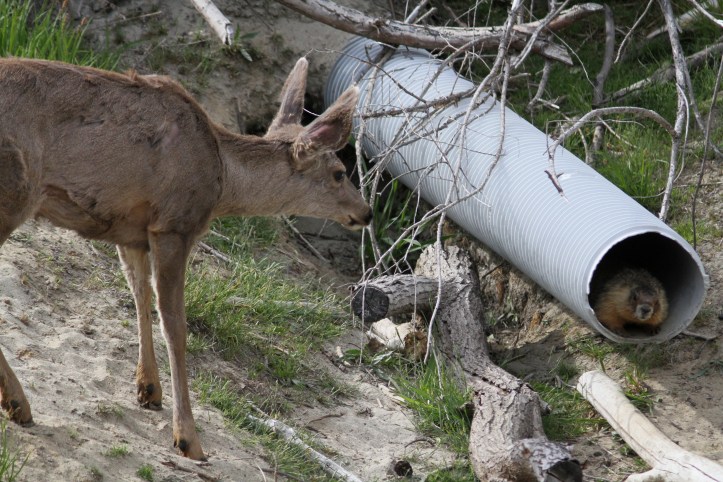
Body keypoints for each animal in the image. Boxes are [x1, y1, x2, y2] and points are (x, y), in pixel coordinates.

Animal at [0, 56, 371, 460]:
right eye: (339, 173)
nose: (366, 212)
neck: (222, 175)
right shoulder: (174, 225)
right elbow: (175, 326)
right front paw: (188, 438)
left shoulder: (131, 229)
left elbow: (139, 296)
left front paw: (149, 389)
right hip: (14, 190)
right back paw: (18, 403)